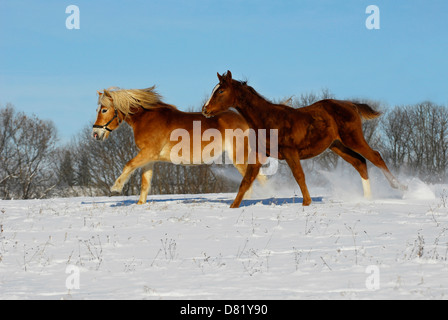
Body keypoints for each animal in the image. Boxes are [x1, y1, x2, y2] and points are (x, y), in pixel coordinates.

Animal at [93, 85, 264, 205]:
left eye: (104, 110)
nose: (95, 134)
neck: (147, 119)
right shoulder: (149, 158)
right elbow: (145, 182)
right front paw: (140, 203)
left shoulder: (148, 152)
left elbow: (128, 165)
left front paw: (115, 188)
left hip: (239, 156)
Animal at [203, 70, 406, 208]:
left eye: (220, 91)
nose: (205, 109)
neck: (268, 119)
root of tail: (350, 105)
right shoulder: (260, 154)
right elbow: (246, 180)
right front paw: (233, 207)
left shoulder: (290, 152)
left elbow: (299, 176)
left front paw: (306, 203)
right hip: (337, 145)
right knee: (360, 162)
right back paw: (367, 198)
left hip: (352, 138)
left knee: (375, 156)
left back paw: (401, 187)